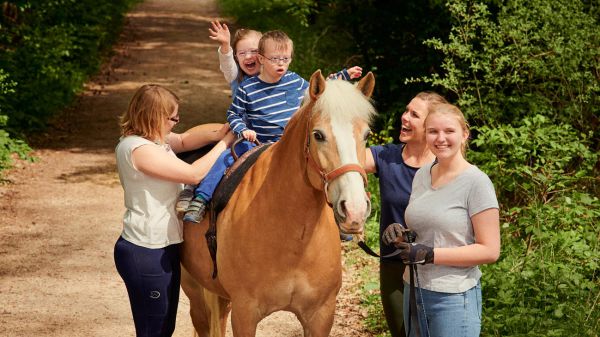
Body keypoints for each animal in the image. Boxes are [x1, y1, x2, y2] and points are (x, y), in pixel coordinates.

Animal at [180, 69, 376, 334]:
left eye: (366, 134)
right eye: (318, 135)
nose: (355, 210)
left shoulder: (321, 316)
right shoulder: (245, 314)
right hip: (193, 290)